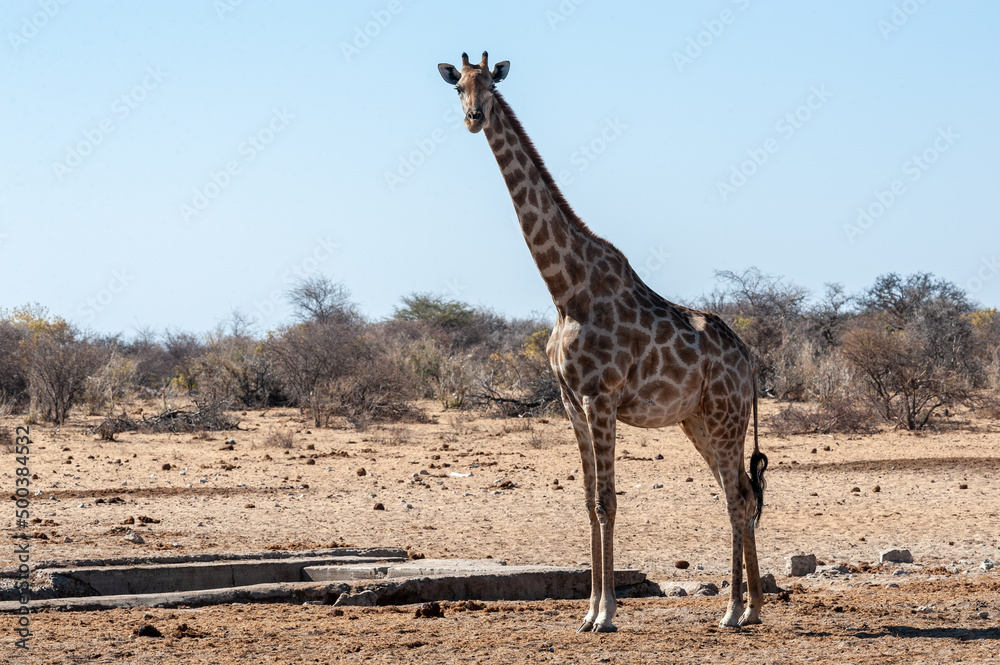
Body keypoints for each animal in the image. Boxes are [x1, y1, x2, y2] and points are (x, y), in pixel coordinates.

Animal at [438, 52, 769, 632]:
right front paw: (588, 611)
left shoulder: (601, 397)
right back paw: (749, 609)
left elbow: (608, 502)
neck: (566, 289)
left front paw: (608, 614)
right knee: (743, 495)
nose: (474, 117)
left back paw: (732, 611)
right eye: (458, 86)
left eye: (491, 87)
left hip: (725, 418)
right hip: (699, 421)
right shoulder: (571, 402)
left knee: (736, 497)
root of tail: (747, 359)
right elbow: (588, 501)